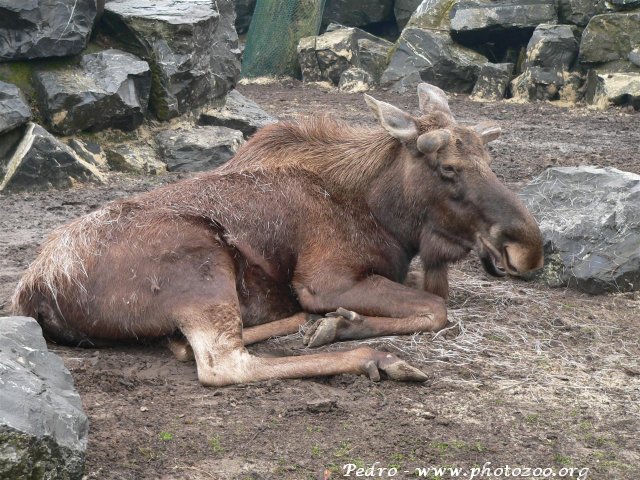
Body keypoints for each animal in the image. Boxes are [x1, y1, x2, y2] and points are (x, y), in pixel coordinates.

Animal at [12, 83, 543, 387]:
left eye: (489, 160)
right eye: (448, 167)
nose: (529, 249)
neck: (385, 215)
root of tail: (32, 290)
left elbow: (431, 301)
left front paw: (338, 321)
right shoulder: (327, 279)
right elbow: (437, 309)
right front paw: (342, 324)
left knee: (187, 345)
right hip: (201, 262)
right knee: (223, 364)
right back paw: (373, 356)